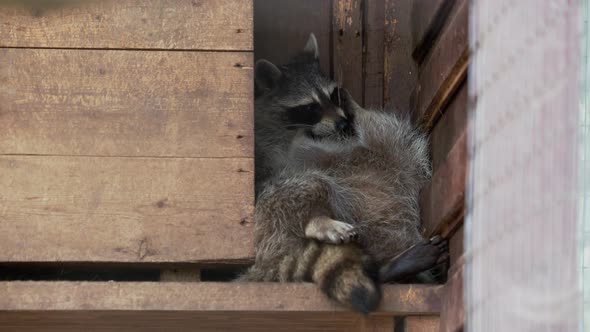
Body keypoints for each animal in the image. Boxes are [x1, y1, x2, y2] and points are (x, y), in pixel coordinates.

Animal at [240, 32, 448, 312]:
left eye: (333, 95)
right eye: (310, 107)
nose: (343, 122)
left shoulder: (397, 153)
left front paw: (355, 108)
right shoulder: (268, 149)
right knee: (307, 184)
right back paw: (317, 219)